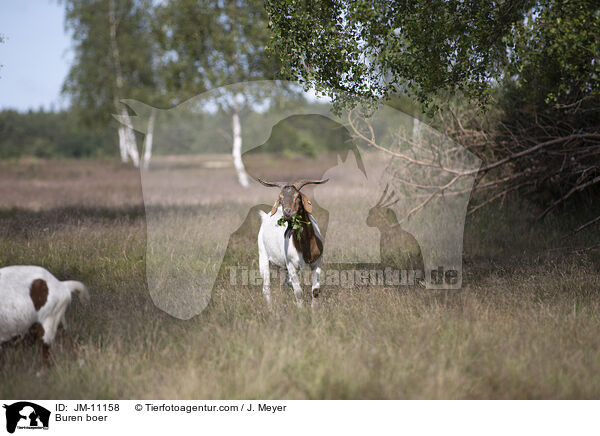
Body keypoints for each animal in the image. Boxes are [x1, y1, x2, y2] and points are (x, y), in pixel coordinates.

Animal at [254, 178, 328, 310]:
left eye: (297, 196)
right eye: (281, 198)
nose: (287, 213)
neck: (305, 245)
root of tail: (265, 217)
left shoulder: (317, 262)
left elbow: (315, 291)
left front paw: (314, 310)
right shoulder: (291, 265)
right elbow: (298, 292)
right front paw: (301, 311)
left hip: (284, 267)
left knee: (285, 285)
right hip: (263, 256)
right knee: (266, 287)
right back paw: (270, 309)